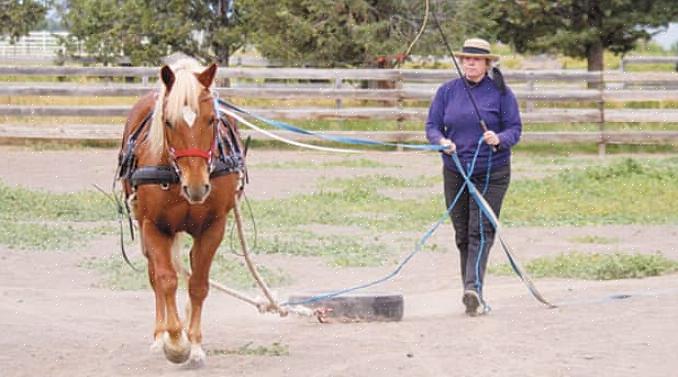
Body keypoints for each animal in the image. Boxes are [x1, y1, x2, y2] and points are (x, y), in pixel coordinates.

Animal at [117, 58, 247, 364]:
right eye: (168, 121)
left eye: (211, 120)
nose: (197, 186)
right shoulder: (153, 226)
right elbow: (165, 280)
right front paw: (175, 343)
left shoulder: (213, 227)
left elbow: (198, 284)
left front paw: (195, 343)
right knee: (156, 276)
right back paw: (159, 336)